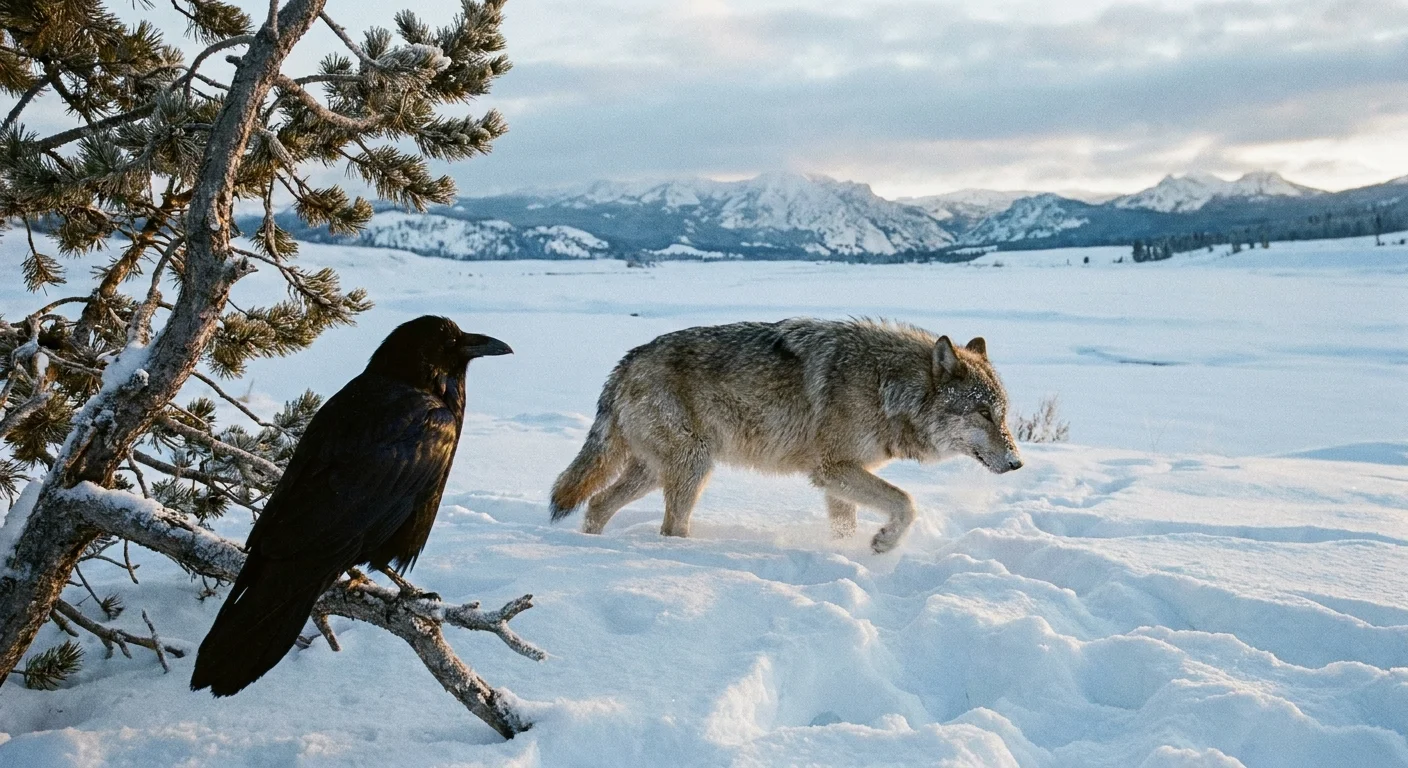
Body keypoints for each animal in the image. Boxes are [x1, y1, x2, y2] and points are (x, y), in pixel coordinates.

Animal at [549, 318, 1023, 553]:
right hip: (693, 466)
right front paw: (884, 544)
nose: (1017, 463)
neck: (885, 386)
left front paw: (847, 552)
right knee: (668, 527)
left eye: (1002, 415)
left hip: (656, 471)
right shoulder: (832, 469)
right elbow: (906, 503)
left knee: (597, 504)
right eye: (982, 414)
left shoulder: (838, 479)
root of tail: (626, 362)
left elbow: (847, 525)